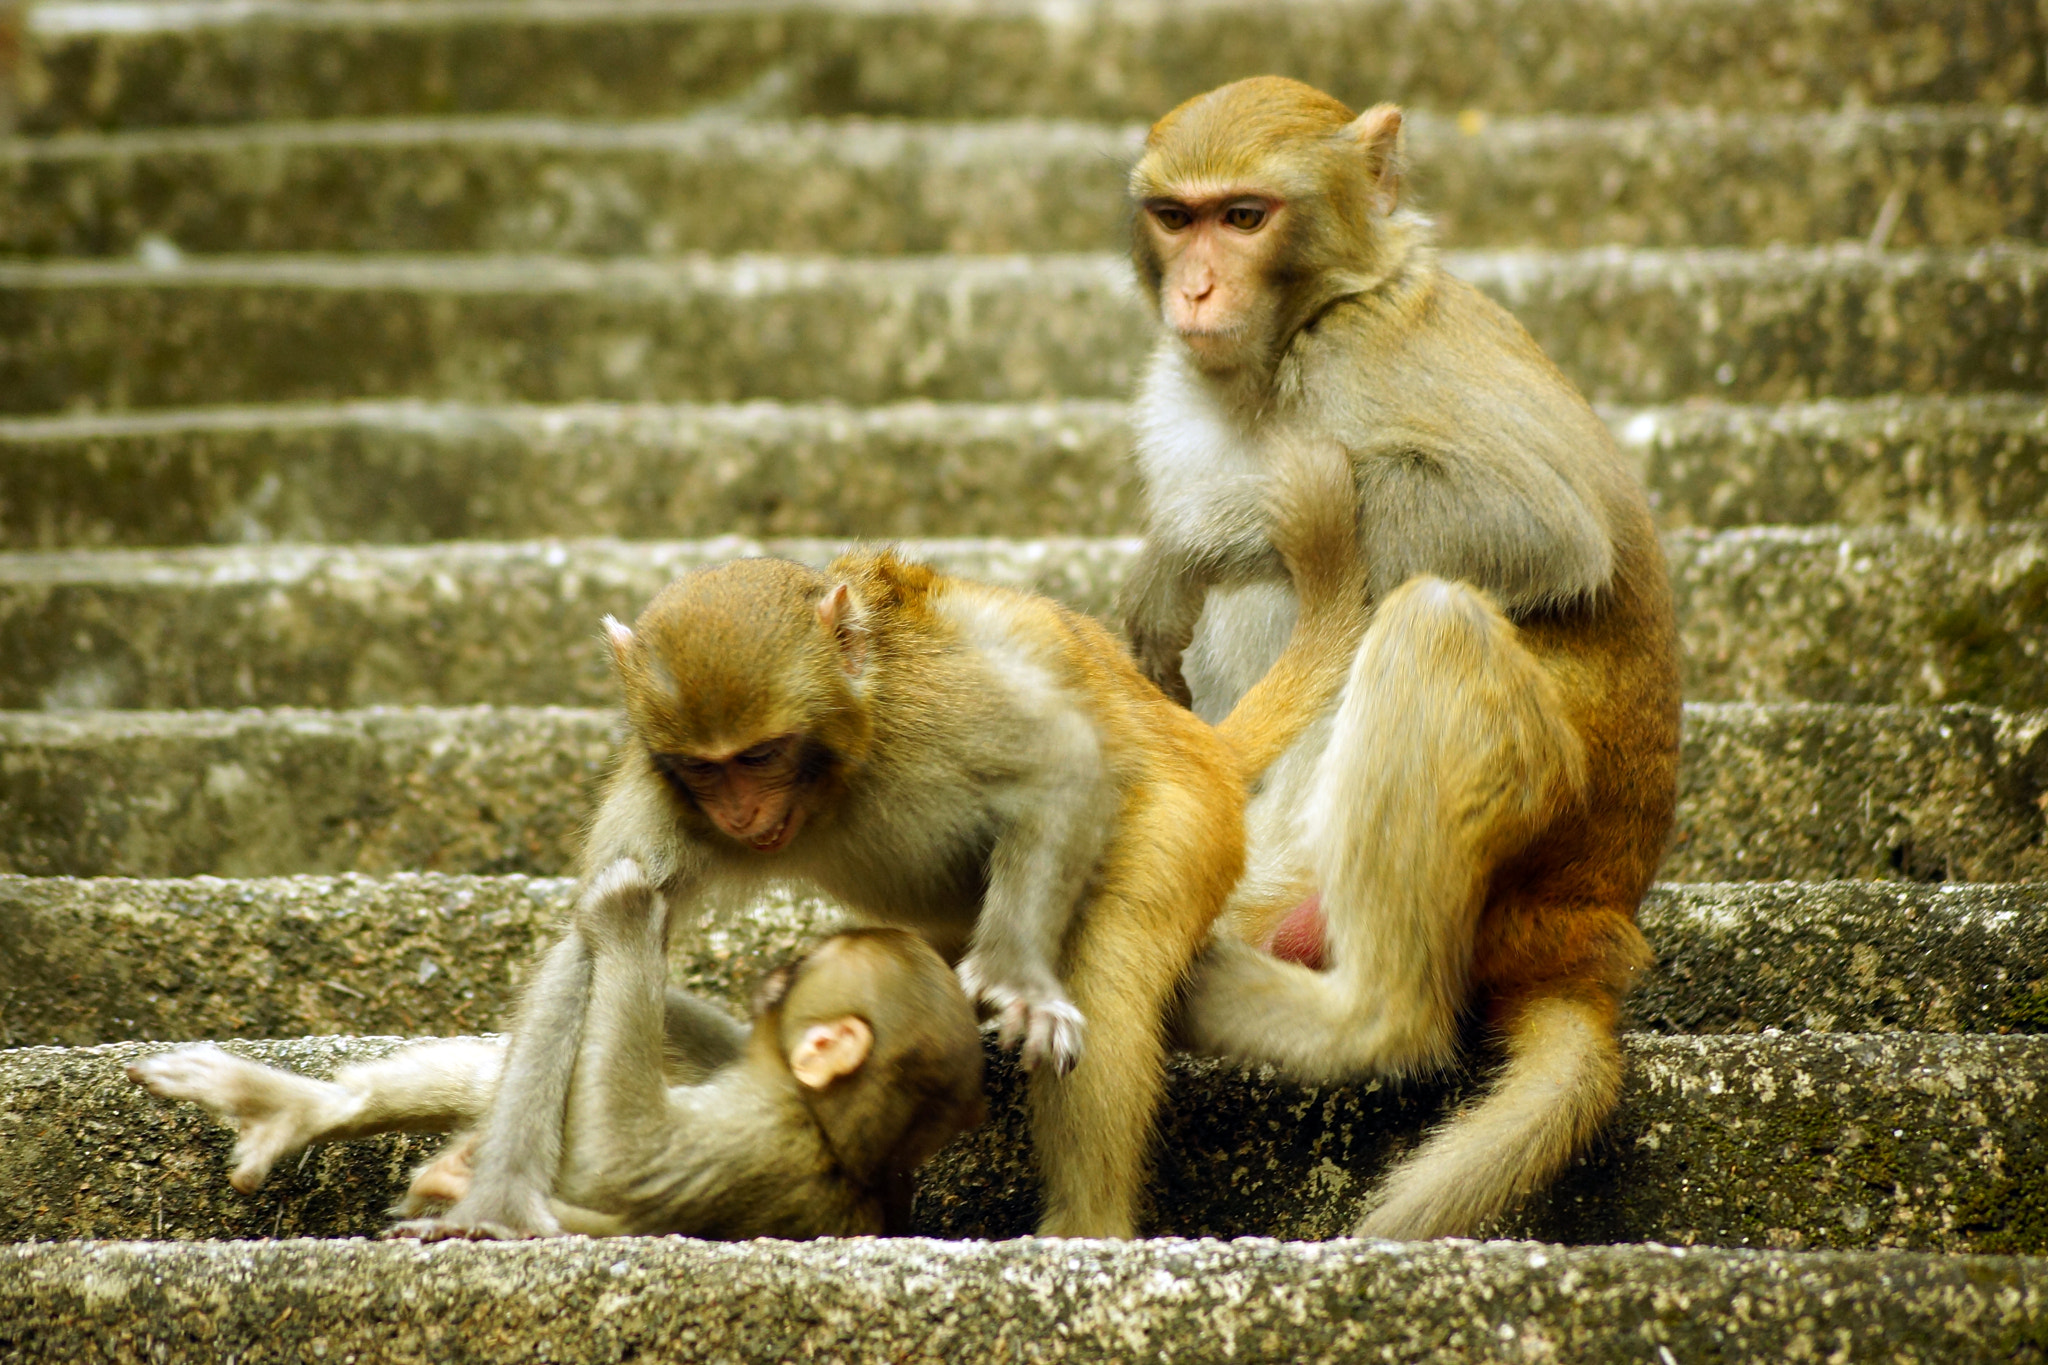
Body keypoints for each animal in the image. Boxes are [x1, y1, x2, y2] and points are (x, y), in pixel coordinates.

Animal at [132, 879, 987, 1244]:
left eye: (802, 968)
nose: (772, 976)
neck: (838, 1132)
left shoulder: (760, 1134)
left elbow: (621, 1156)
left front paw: (627, 919)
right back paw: (303, 1110)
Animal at [407, 464, 1359, 1244]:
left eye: (761, 755)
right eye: (706, 767)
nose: (743, 811)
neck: (833, 780)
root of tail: (1202, 745)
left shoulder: (928, 706)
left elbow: (1060, 757)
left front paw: (1014, 973)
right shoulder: (660, 785)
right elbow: (587, 947)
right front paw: (497, 1202)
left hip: (1186, 817)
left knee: (1112, 951)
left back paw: (1085, 1226)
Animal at [1122, 80, 1679, 1244]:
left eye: (1245, 217)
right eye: (1176, 217)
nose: (1195, 288)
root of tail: (1587, 926)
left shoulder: (1360, 363)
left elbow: (1539, 527)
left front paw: (1181, 545)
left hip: (1537, 833)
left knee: (1423, 617)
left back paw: (1348, 1007)